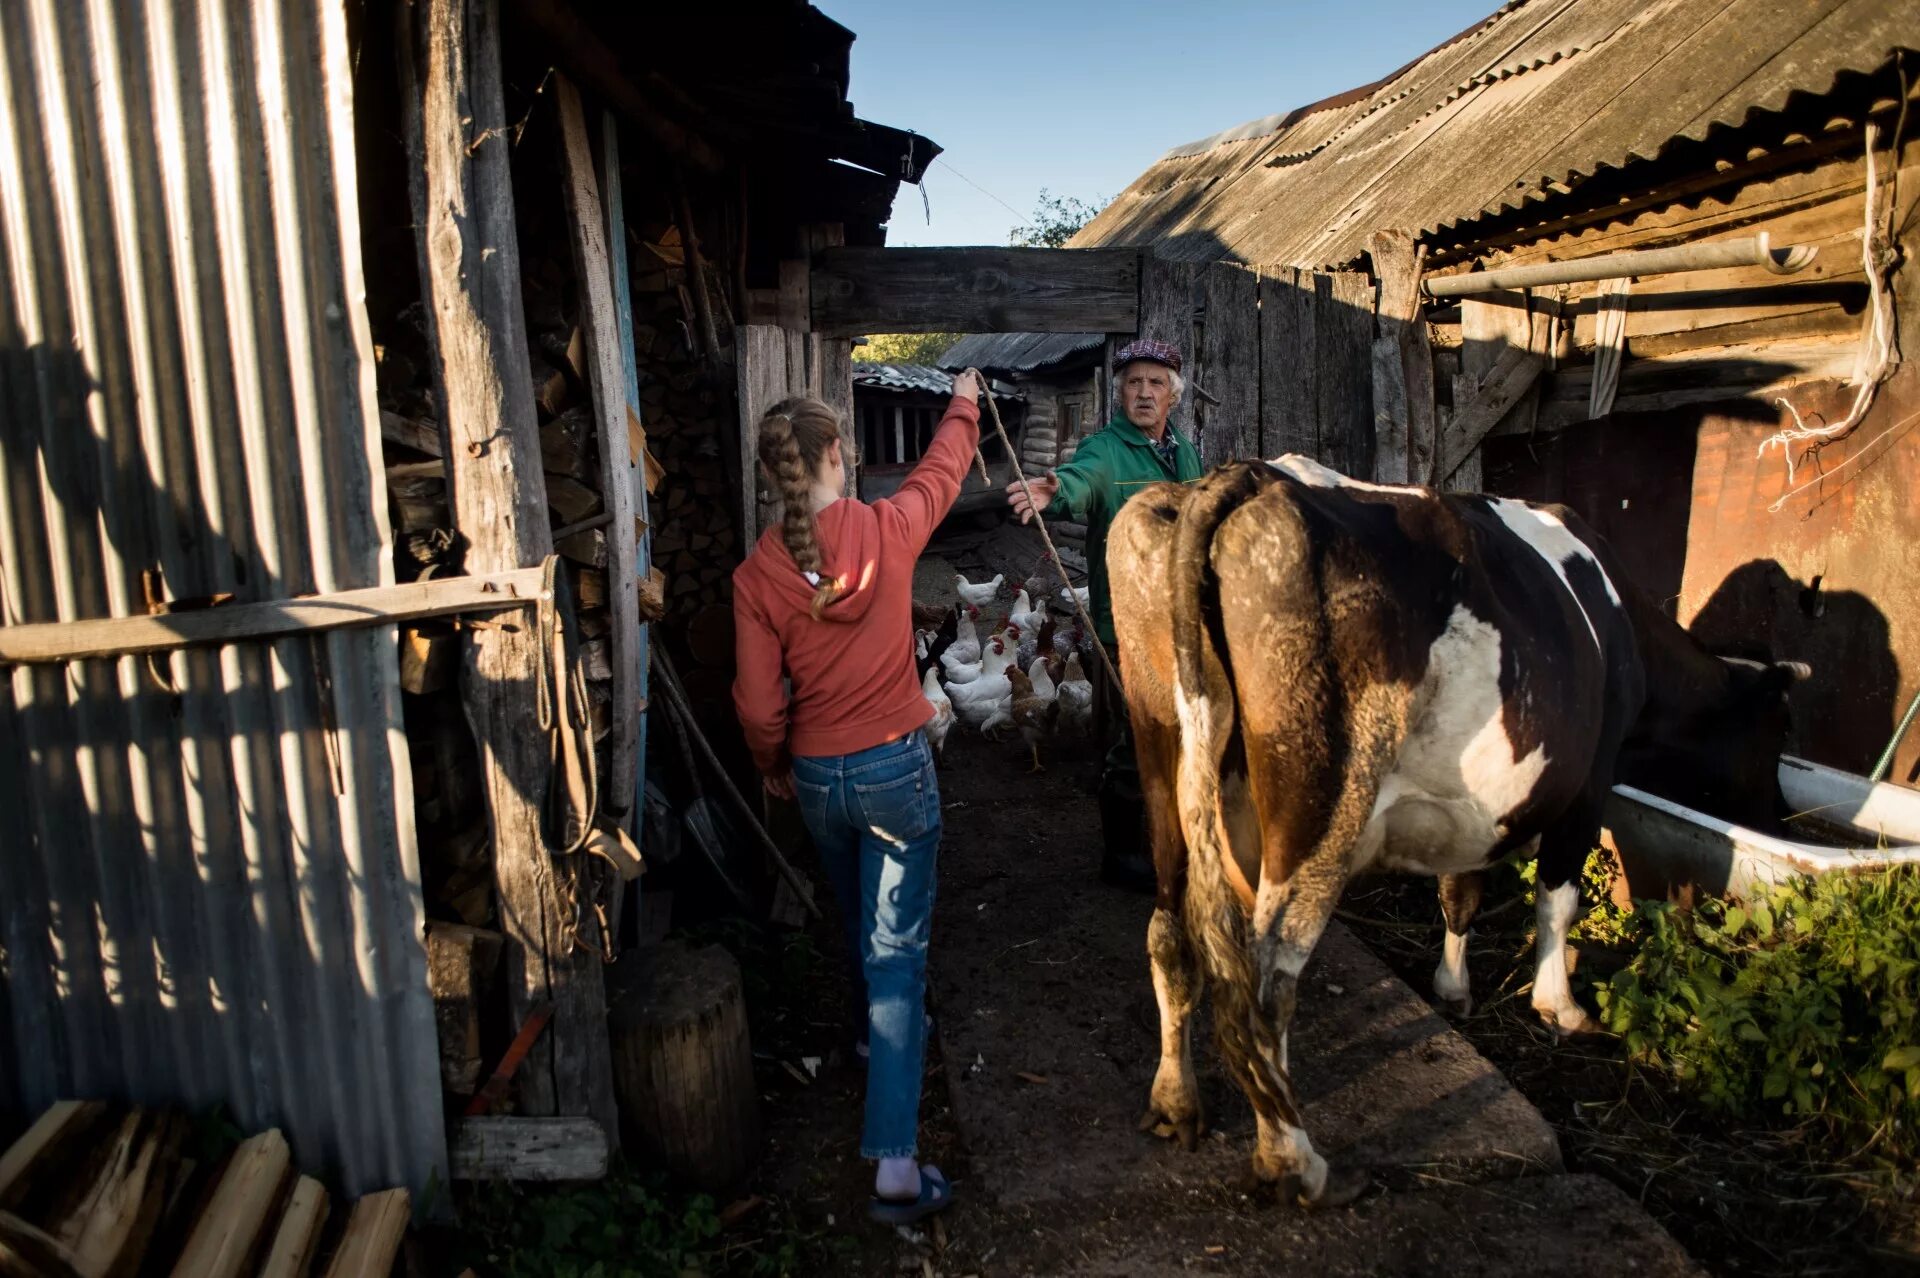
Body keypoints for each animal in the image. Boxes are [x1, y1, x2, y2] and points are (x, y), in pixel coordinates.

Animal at [1105, 454, 1804, 1205]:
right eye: (1778, 731)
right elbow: (1556, 901)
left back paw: (1177, 1103)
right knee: (1264, 984)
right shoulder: (1588, 783)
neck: (1625, 632)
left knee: (1170, 935)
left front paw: (1453, 987)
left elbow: (1460, 892)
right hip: (1325, 801)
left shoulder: (1477, 808)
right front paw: (1560, 1008)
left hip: (1163, 751)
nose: (1781, 815)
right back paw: (1295, 1162)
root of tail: (1245, 476)